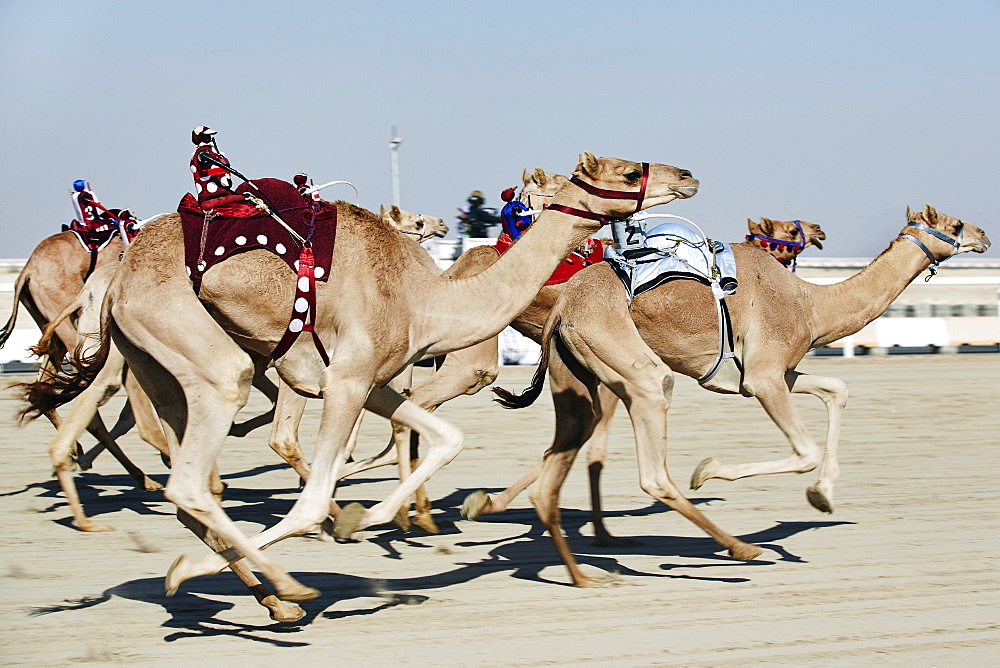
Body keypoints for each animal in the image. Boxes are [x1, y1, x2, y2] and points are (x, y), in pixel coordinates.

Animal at [480, 204, 988, 584]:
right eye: (954, 226)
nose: (983, 236)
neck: (812, 305)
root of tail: (564, 304)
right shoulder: (765, 377)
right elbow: (804, 451)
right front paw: (709, 471)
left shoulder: (773, 372)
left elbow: (837, 390)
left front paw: (822, 495)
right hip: (635, 370)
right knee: (650, 465)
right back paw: (737, 549)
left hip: (578, 377)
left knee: (567, 450)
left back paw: (571, 559)